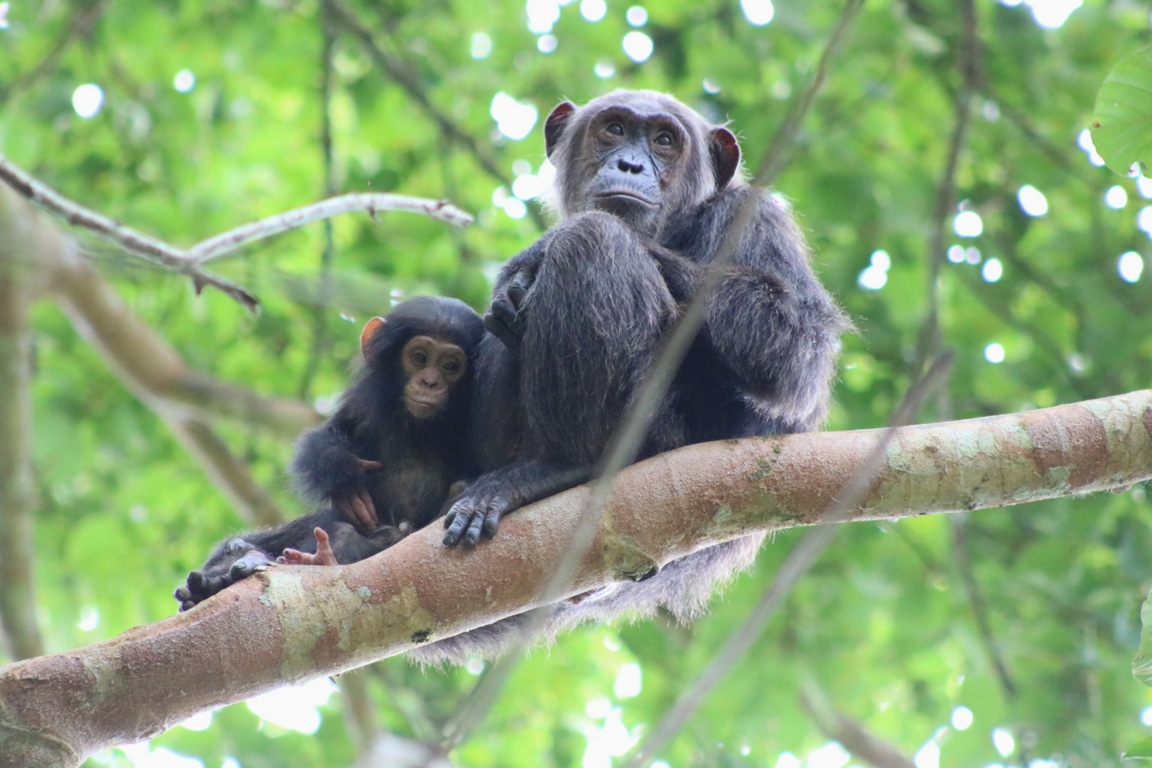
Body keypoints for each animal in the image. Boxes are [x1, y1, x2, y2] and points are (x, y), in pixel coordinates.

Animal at [170, 297, 481, 612]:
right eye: (419, 357)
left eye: (450, 366)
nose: (430, 381)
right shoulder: (360, 403)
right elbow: (324, 440)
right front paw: (346, 479)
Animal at [423, 90, 847, 663]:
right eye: (615, 129)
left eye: (665, 140)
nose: (630, 164)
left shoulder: (755, 219)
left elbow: (794, 351)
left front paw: (537, 251)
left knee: (594, 237)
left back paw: (560, 467)